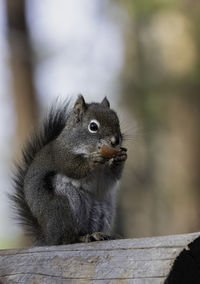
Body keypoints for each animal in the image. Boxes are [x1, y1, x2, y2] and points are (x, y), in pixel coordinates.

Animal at [11, 96, 126, 246]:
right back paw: (81, 238)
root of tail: (48, 238)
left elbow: (111, 177)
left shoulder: (105, 173)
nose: (115, 140)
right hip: (64, 208)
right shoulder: (61, 156)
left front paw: (120, 158)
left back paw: (98, 234)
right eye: (93, 126)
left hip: (102, 211)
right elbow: (74, 169)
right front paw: (92, 160)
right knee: (65, 239)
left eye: (117, 121)